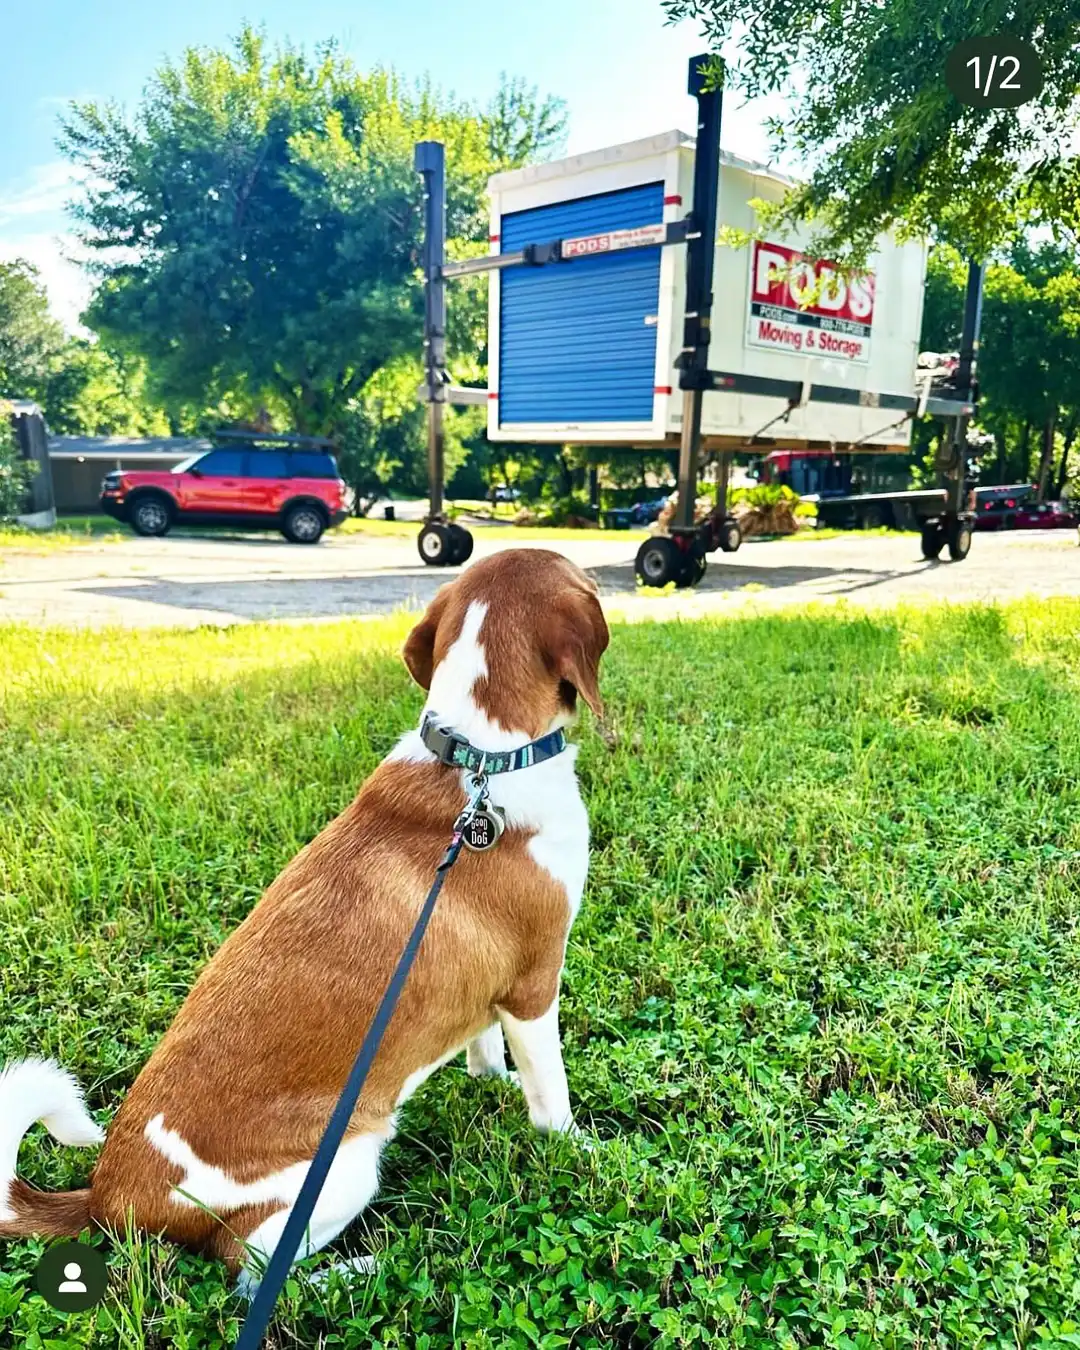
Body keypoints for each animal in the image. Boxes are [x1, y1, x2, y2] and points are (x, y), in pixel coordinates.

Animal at [0, 550, 607, 1296]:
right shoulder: (534, 984)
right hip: (344, 1164)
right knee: (250, 1269)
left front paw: (490, 1083)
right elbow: (551, 1098)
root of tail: (107, 1195)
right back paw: (364, 1269)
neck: (478, 760)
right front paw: (578, 1146)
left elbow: (483, 1047)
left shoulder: (492, 994)